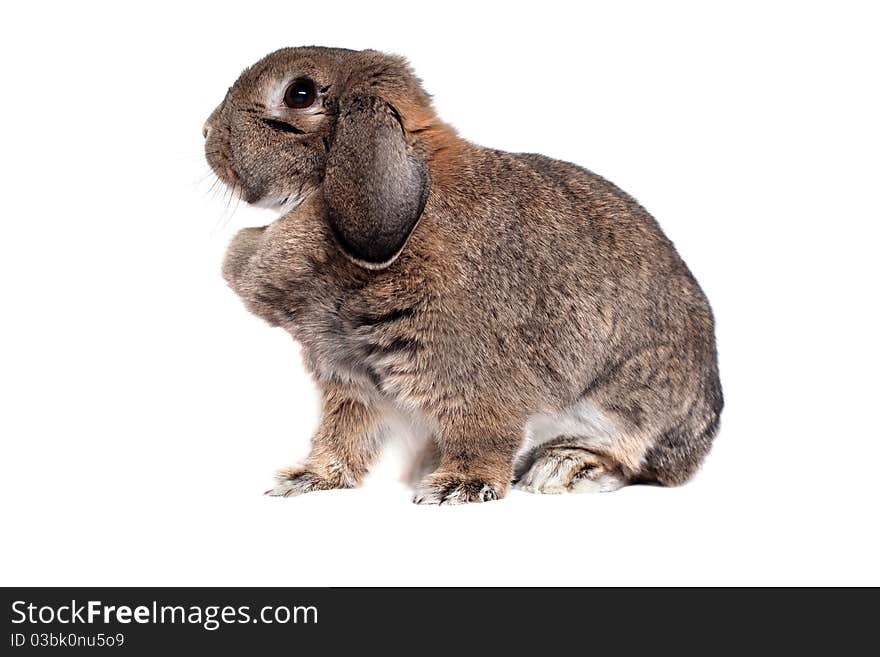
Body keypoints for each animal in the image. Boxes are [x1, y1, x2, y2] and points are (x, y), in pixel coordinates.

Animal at [205, 46, 720, 504]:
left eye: (299, 93)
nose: (208, 132)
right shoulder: (350, 380)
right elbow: (344, 435)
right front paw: (307, 480)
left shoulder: (467, 373)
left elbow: (482, 432)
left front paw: (459, 488)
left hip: (622, 404)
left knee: (627, 456)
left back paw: (561, 469)